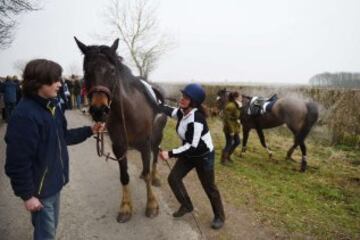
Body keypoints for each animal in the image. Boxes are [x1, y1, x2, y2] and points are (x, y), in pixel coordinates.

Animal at [75, 37, 168, 223]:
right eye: (87, 71)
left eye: (112, 71)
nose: (99, 110)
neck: (128, 111)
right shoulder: (118, 147)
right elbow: (124, 176)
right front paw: (125, 207)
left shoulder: (145, 145)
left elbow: (148, 171)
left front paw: (151, 204)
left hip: (156, 138)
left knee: (154, 158)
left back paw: (155, 177)